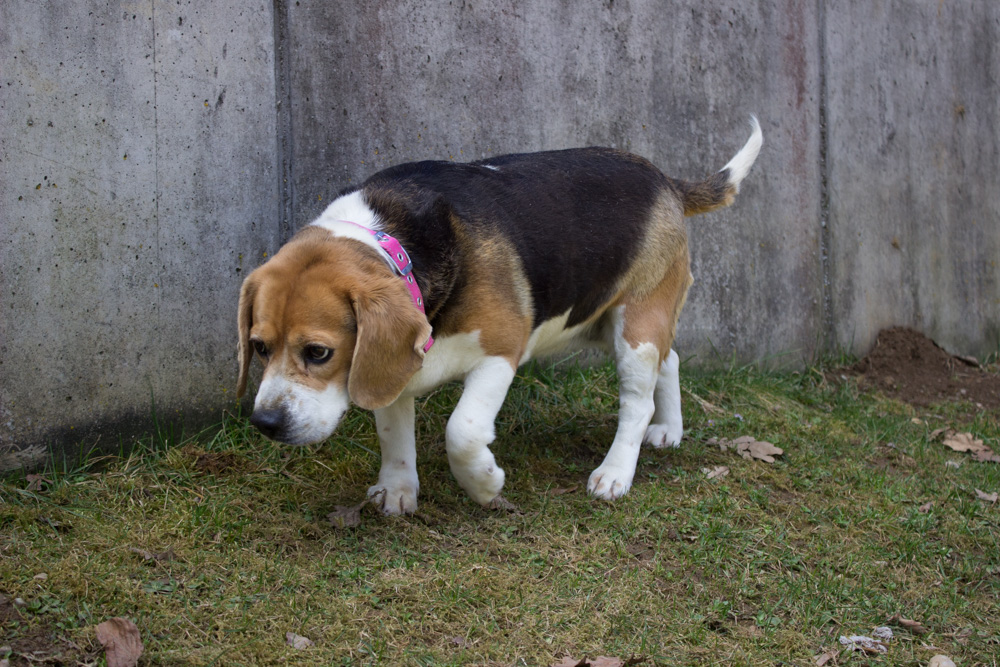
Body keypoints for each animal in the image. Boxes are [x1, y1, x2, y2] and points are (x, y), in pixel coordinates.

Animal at [236, 117, 762, 514]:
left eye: (318, 353)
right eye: (259, 347)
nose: (265, 423)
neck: (397, 243)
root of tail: (665, 180)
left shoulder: (500, 352)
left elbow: (463, 431)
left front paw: (485, 484)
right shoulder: (391, 368)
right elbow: (393, 432)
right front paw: (399, 490)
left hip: (637, 325)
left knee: (637, 401)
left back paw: (615, 473)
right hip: (612, 322)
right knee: (669, 361)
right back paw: (670, 430)